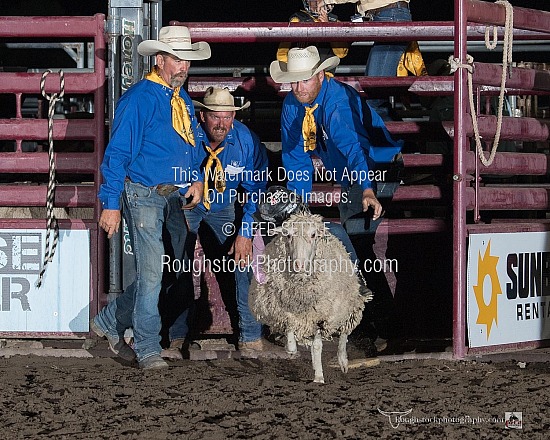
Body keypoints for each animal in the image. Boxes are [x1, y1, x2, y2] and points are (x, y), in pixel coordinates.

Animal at [250, 212, 370, 382]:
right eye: (288, 236)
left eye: (313, 235)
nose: (299, 265)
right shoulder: (285, 313)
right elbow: (291, 334)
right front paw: (291, 348)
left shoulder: (321, 316)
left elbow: (317, 346)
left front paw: (319, 377)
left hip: (347, 307)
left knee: (344, 334)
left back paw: (342, 361)